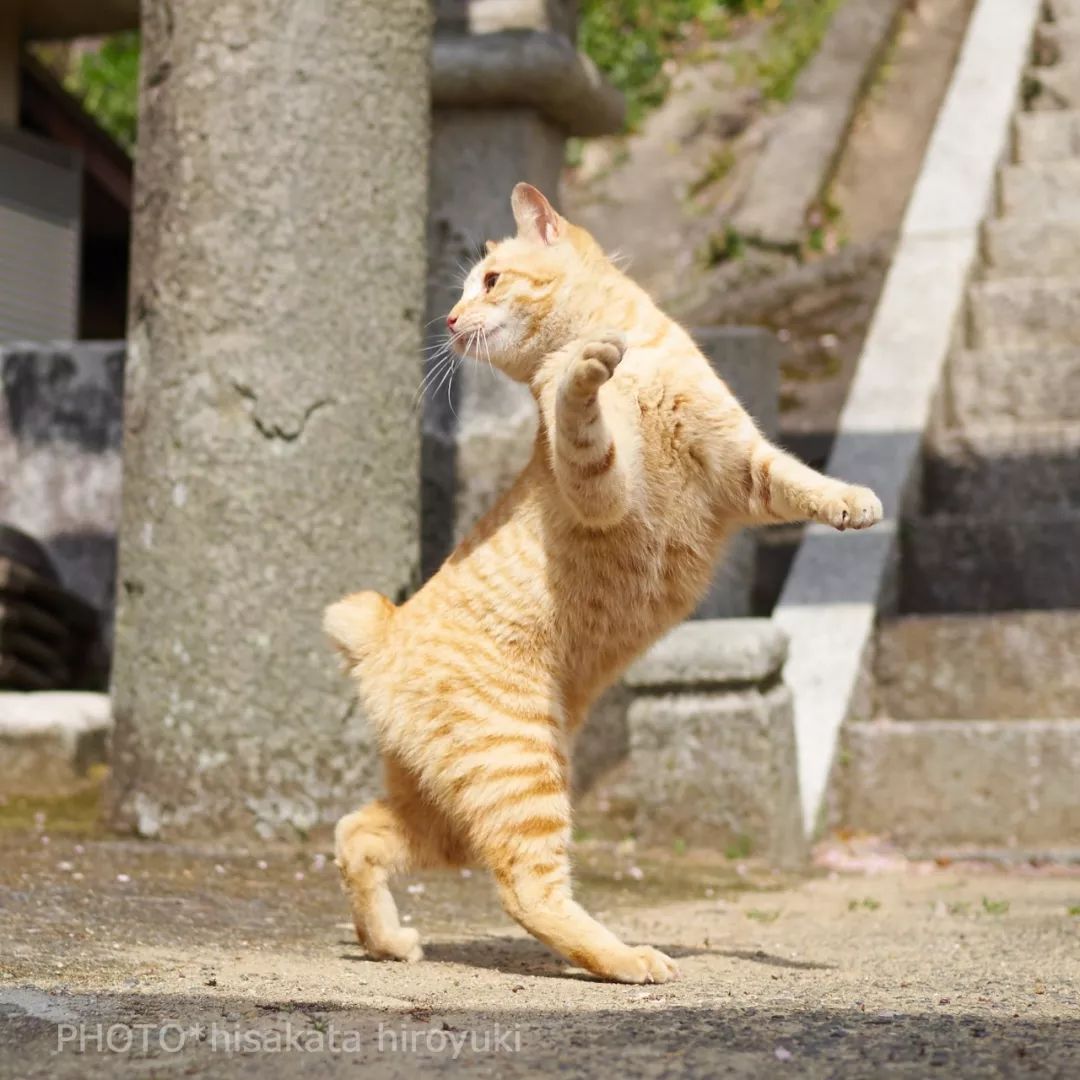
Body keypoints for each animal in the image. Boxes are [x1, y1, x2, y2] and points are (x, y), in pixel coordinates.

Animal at [324, 181, 881, 984]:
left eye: (488, 281)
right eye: (463, 291)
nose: (450, 319)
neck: (643, 365)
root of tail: (383, 631)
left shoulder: (742, 468)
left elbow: (801, 480)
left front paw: (852, 503)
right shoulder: (605, 490)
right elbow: (580, 414)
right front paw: (586, 367)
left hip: (447, 811)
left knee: (356, 835)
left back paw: (390, 941)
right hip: (520, 768)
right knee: (525, 890)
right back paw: (625, 959)